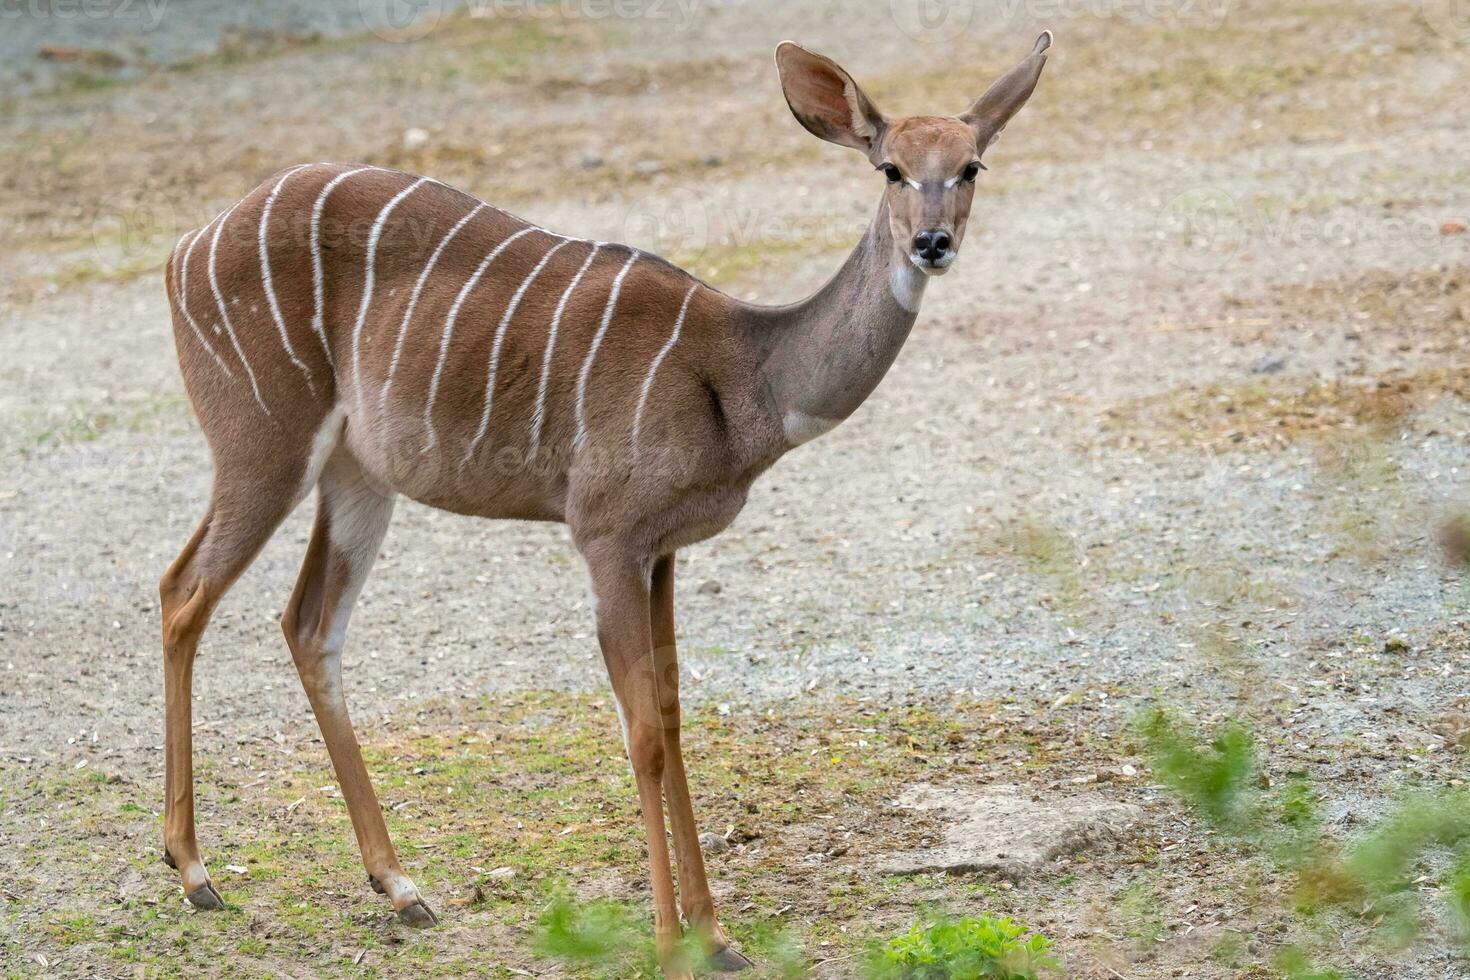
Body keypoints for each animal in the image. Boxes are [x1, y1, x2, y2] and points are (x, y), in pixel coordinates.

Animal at [160, 34, 1052, 975]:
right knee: (183, 592)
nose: (931, 243)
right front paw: (667, 941)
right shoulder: (607, 535)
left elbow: (673, 712)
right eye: (890, 168)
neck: (745, 374)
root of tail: (184, 246)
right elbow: (642, 731)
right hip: (262, 442)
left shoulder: (666, 548)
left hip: (358, 476)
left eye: (970, 165)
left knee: (308, 623)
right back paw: (195, 872)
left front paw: (719, 934)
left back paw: (402, 888)